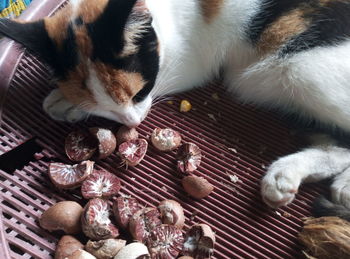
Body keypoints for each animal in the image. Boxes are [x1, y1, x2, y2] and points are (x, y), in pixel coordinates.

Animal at [0, 0, 350, 215]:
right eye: (107, 112)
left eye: (140, 93)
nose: (132, 121)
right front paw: (66, 97)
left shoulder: (191, 61)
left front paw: (63, 101)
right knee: (339, 147)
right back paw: (286, 176)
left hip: (302, 70)